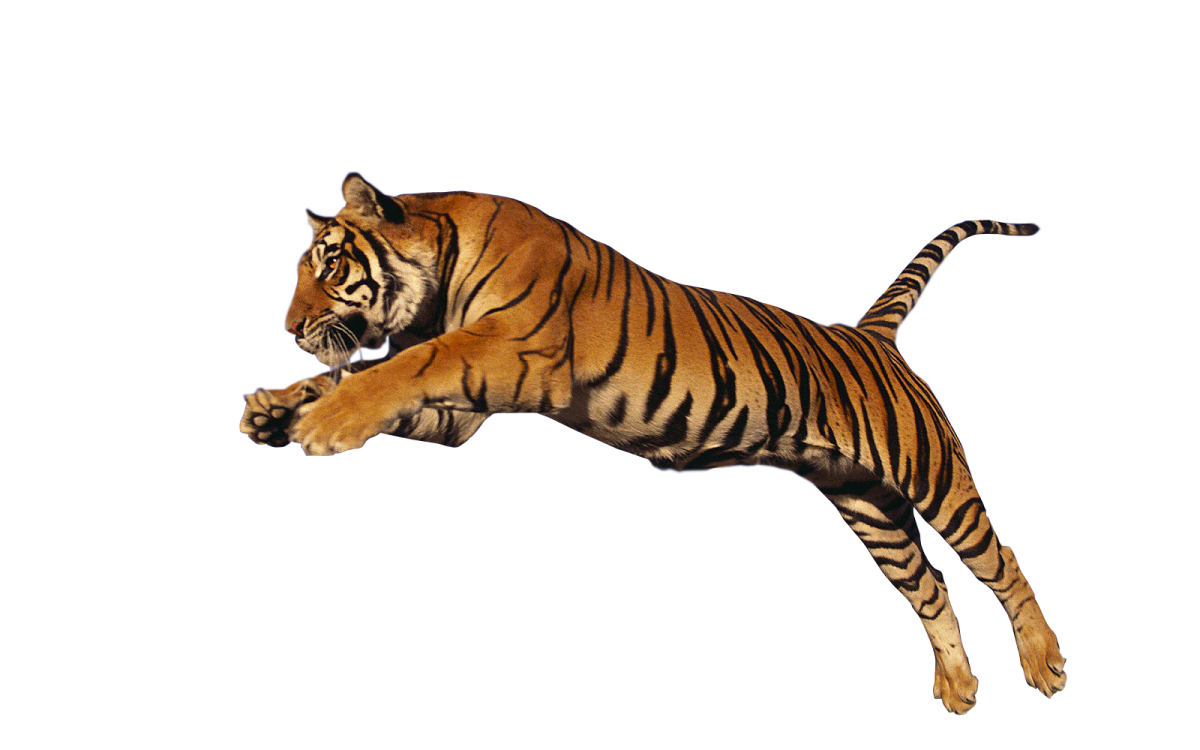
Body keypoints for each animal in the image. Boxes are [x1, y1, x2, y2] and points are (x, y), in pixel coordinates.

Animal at [239, 172, 1066, 713]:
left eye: (332, 265)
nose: (289, 328)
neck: (440, 278)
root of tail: (870, 334)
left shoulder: (506, 352)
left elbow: (399, 367)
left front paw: (322, 424)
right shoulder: (461, 414)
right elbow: (361, 375)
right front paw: (274, 408)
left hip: (933, 476)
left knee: (1001, 560)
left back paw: (1045, 664)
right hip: (867, 506)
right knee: (929, 585)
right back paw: (958, 687)